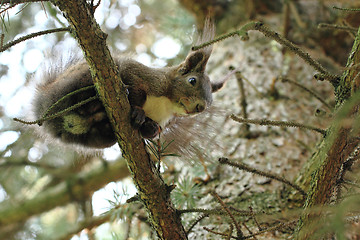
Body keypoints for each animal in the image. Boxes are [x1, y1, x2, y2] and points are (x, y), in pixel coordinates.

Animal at [31, 19, 224, 150]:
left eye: (211, 102)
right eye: (192, 81)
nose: (200, 107)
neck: (166, 104)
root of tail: (42, 104)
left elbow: (151, 130)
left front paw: (150, 128)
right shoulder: (143, 75)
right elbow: (134, 84)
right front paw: (137, 110)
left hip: (90, 139)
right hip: (79, 79)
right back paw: (94, 104)